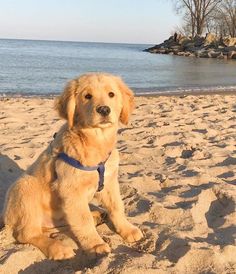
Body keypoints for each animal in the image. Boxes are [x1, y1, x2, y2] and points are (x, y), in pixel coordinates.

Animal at [2, 74, 143, 260]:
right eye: (87, 96)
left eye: (111, 94)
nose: (104, 110)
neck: (96, 142)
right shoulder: (71, 190)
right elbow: (83, 221)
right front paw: (96, 244)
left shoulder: (110, 182)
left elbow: (117, 207)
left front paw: (127, 229)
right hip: (25, 187)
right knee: (26, 233)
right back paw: (58, 248)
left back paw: (97, 215)